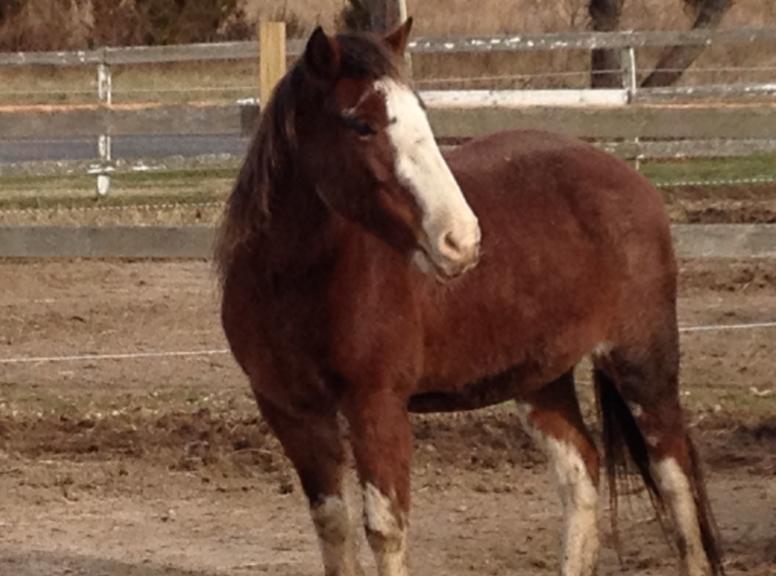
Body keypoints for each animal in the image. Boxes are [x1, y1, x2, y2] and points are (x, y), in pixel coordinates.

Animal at [216, 19, 723, 576]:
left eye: (421, 114)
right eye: (361, 125)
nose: (461, 240)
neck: (294, 285)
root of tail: (634, 182)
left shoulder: (378, 407)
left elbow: (385, 530)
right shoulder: (292, 413)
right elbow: (333, 527)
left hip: (641, 363)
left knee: (675, 479)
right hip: (541, 378)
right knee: (581, 474)